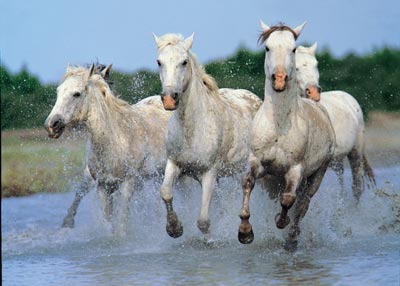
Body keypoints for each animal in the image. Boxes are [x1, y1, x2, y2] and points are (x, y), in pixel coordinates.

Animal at [44, 63, 171, 233]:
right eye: (58, 92)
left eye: (77, 94)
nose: (52, 125)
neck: (116, 141)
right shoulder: (103, 186)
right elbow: (108, 221)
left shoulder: (127, 185)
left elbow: (121, 224)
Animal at [153, 33, 262, 238]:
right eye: (159, 62)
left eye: (184, 62)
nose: (170, 98)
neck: (192, 129)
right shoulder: (175, 163)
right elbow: (165, 192)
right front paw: (174, 228)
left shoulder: (209, 172)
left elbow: (203, 221)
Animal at [239, 22, 336, 250]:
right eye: (268, 48)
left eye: (293, 49)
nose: (280, 80)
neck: (279, 125)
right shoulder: (257, 161)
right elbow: (248, 182)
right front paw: (245, 232)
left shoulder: (295, 169)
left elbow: (289, 199)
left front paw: (281, 221)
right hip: (273, 181)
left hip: (317, 173)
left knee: (303, 203)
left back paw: (291, 238)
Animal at [296, 43, 376, 199]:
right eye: (295, 67)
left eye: (316, 65)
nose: (313, 92)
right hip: (337, 162)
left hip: (356, 154)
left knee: (356, 187)